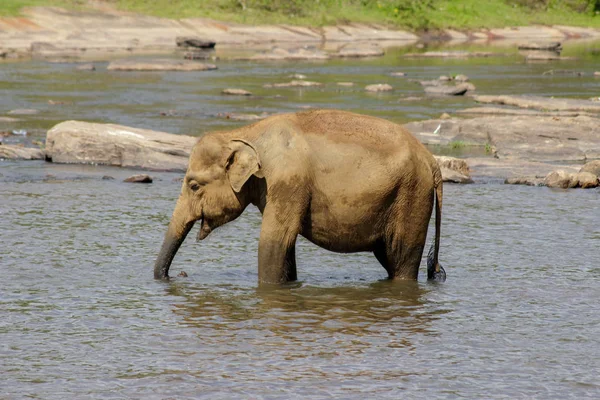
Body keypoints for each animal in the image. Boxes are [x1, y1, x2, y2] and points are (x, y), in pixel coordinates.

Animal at [155, 109, 446, 284]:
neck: (245, 133)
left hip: (412, 197)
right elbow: (287, 246)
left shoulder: (287, 181)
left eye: (194, 186)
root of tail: (432, 161)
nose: (179, 275)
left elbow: (274, 242)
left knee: (403, 259)